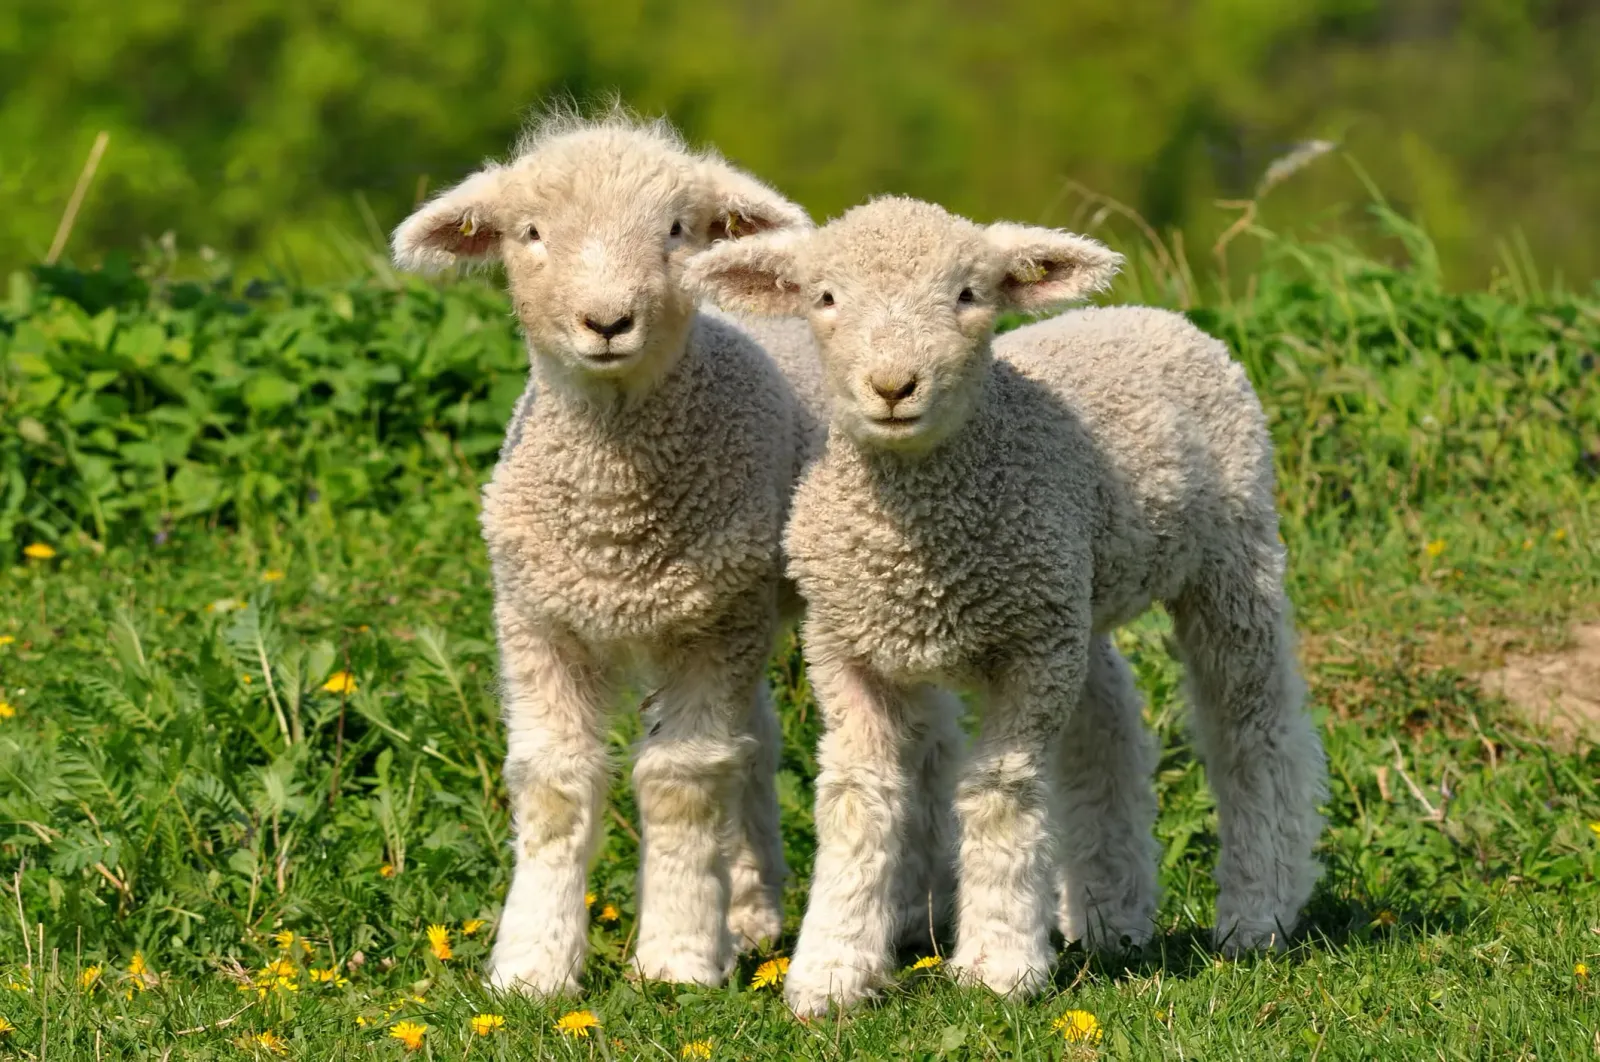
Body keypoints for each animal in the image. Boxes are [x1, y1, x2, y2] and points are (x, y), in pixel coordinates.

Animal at [390, 110, 821, 995]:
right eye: (530, 233)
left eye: (677, 230)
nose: (608, 321)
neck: (614, 526)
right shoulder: (538, 621)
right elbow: (554, 785)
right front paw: (532, 965)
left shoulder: (709, 628)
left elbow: (681, 782)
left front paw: (678, 959)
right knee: (757, 740)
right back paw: (750, 908)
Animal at [683, 196, 1328, 1015]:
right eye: (824, 298)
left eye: (968, 294)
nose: (894, 385)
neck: (921, 544)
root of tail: (1153, 316)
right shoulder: (847, 649)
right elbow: (858, 801)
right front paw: (832, 972)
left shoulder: (1030, 653)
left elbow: (1000, 794)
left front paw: (998, 965)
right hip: (1077, 591)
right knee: (1107, 723)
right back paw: (1111, 917)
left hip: (1230, 555)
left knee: (1254, 728)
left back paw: (1258, 911)